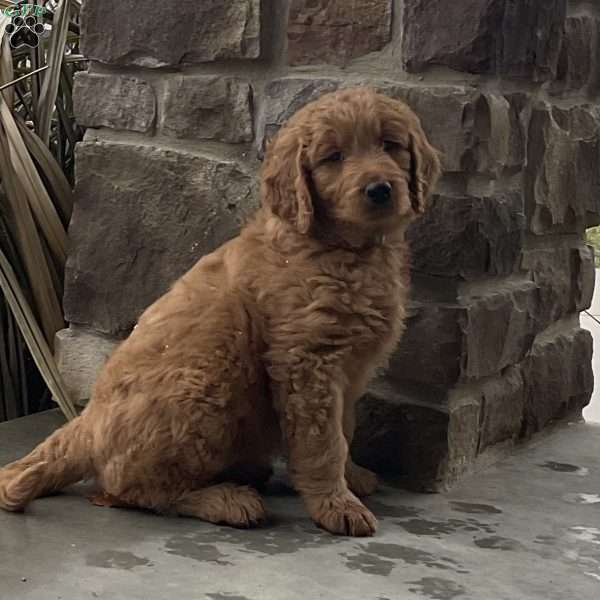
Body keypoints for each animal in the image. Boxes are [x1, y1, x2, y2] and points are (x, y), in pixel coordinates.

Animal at [0, 86, 440, 536]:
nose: (380, 189)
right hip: (210, 375)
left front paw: (352, 478)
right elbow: (323, 441)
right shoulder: (307, 363)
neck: (343, 250)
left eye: (390, 145)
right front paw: (336, 505)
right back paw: (227, 499)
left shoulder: (347, 371)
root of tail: (86, 425)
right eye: (333, 157)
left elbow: (344, 429)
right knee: (131, 490)